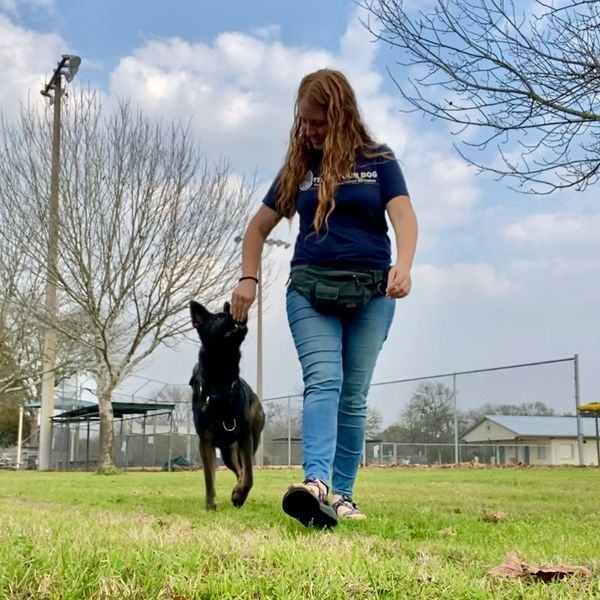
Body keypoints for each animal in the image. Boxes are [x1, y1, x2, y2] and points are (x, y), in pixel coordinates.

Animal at [188, 300, 262, 510]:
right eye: (219, 317)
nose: (235, 311)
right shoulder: (205, 441)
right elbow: (209, 478)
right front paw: (211, 505)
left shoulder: (245, 437)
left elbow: (249, 476)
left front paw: (239, 495)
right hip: (228, 453)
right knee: (237, 469)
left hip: (249, 439)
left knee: (243, 470)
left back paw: (238, 493)